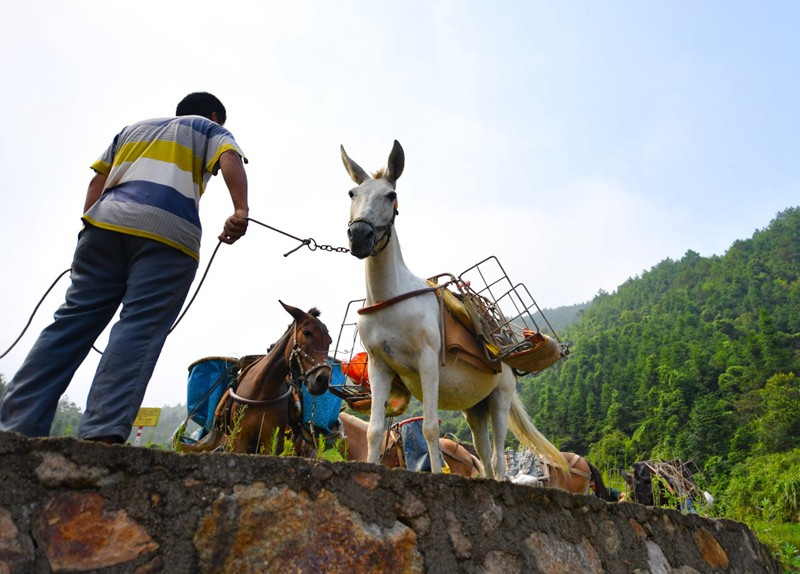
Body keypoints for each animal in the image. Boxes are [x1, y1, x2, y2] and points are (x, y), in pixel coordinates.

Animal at [177, 304, 332, 456]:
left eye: (329, 341)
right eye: (307, 332)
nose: (322, 379)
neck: (260, 393)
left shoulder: (271, 440)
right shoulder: (239, 439)